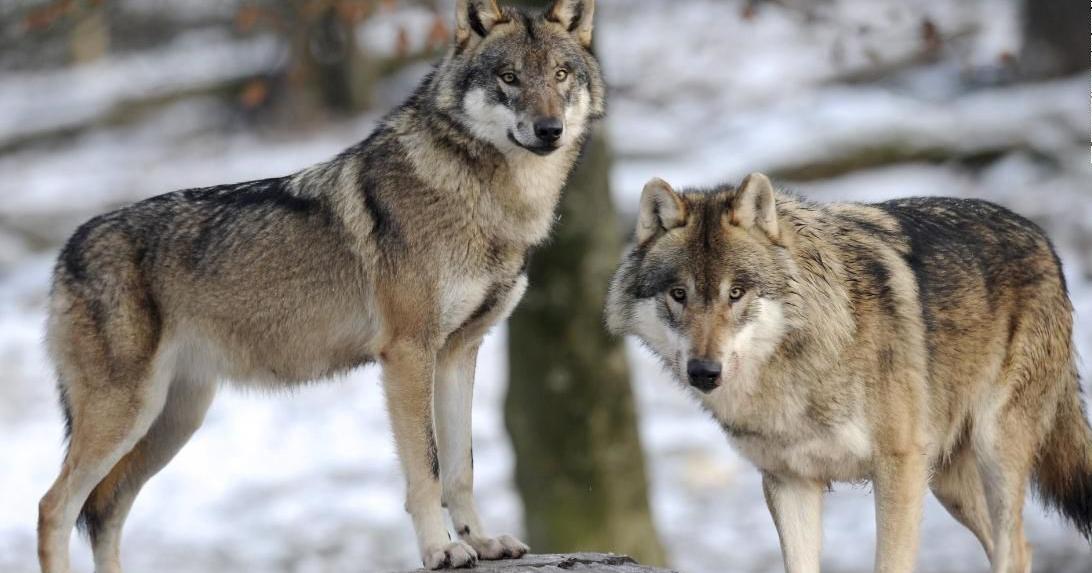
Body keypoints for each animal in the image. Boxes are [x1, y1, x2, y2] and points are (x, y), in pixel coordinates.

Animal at [36, 1, 603, 571]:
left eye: (560, 75)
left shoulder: (459, 353)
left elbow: (461, 468)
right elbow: (427, 468)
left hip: (173, 421)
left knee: (107, 510)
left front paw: (482, 543)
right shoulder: (408, 354)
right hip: (127, 416)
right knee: (55, 506)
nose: (549, 129)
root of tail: (66, 251)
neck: (488, 203)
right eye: (509, 77)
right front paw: (441, 549)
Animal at [606, 173, 1092, 573]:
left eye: (737, 293)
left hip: (994, 451)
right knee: (1017, 547)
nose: (704, 371)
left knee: (1014, 547)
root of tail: (1042, 237)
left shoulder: (899, 467)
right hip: (947, 481)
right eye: (678, 294)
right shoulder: (790, 480)